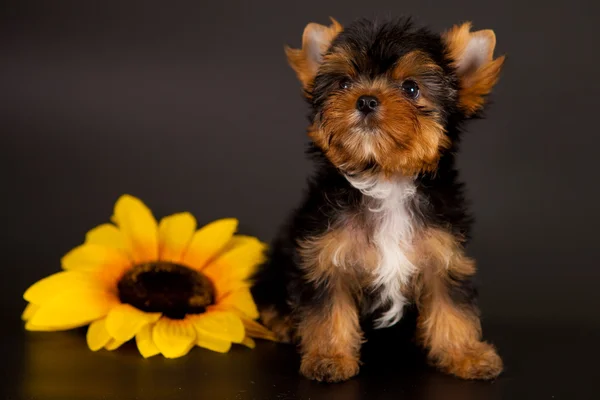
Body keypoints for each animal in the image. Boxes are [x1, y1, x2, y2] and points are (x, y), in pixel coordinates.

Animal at [251, 17, 504, 382]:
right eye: (343, 83)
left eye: (411, 88)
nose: (366, 100)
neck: (386, 179)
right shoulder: (325, 253)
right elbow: (328, 308)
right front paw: (329, 356)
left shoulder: (443, 254)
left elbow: (452, 305)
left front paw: (466, 354)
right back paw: (285, 322)